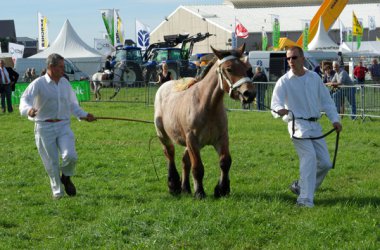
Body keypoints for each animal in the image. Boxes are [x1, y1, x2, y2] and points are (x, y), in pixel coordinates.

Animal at [154, 44, 255, 198]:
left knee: (185, 160)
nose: (249, 94)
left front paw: (222, 189)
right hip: (163, 135)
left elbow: (225, 162)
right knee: (170, 153)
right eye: (229, 69)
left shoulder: (221, 138)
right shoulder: (192, 141)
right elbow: (198, 167)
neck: (208, 106)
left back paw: (185, 188)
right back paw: (174, 185)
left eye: (247, 68)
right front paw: (199, 192)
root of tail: (165, 84)